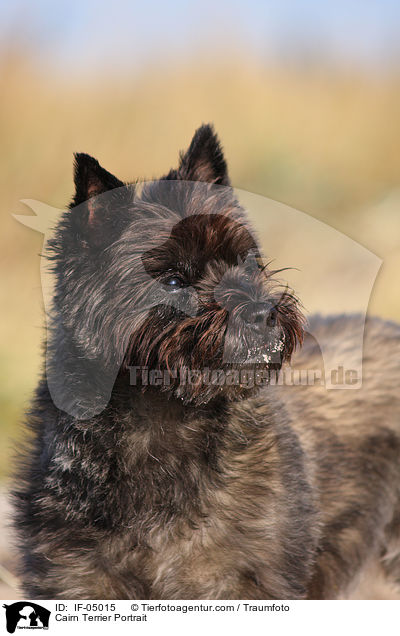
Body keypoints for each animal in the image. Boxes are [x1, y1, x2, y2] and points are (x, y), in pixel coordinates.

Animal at [12, 125, 400, 600]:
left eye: (247, 263)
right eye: (174, 280)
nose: (262, 313)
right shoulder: (76, 582)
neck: (162, 429)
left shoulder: (240, 582)